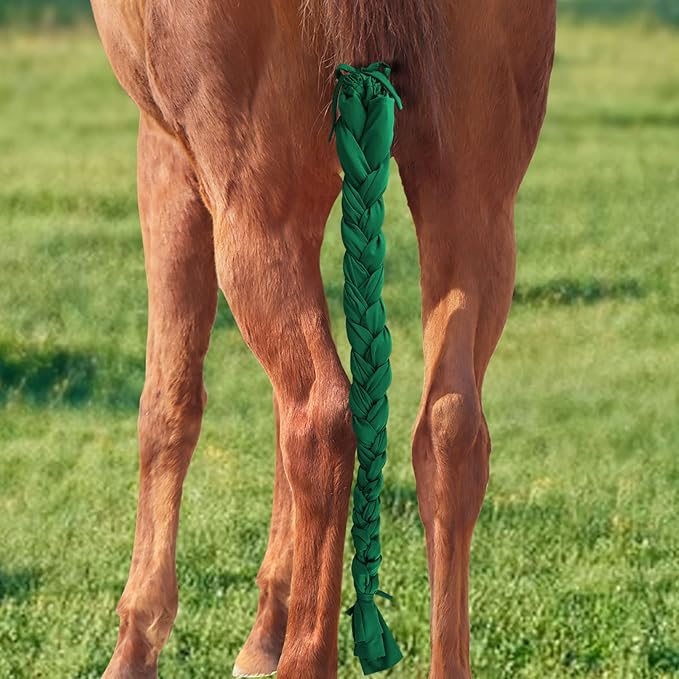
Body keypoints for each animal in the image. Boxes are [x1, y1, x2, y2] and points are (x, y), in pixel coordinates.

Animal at [90, 1, 556, 677]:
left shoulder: (168, 154)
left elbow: (168, 405)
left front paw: (135, 646)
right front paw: (267, 626)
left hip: (252, 200)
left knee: (322, 416)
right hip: (477, 202)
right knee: (451, 428)